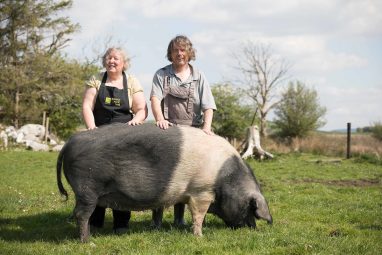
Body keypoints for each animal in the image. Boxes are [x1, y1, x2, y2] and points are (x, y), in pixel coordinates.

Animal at [56, 122, 272, 242]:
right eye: (251, 207)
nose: (251, 228)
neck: (226, 178)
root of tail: (68, 143)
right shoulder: (201, 191)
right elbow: (198, 214)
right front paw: (199, 236)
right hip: (87, 189)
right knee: (81, 214)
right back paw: (88, 242)